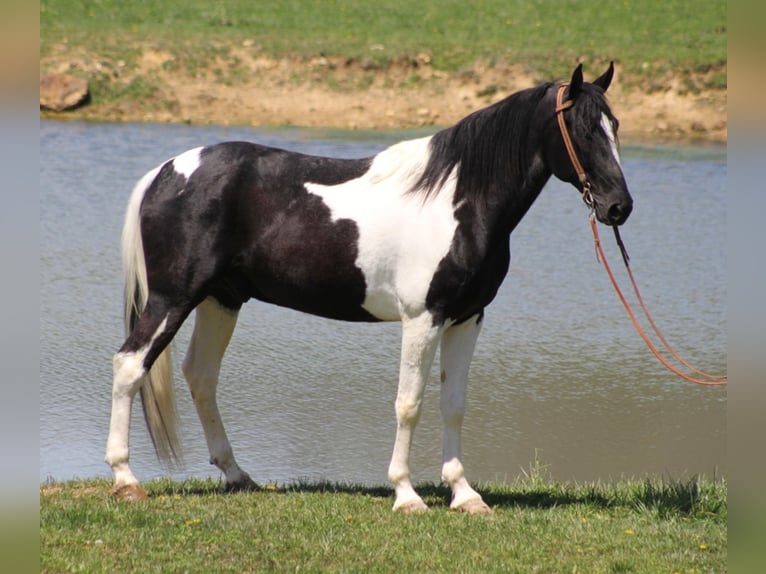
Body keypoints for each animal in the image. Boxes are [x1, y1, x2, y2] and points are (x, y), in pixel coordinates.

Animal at [108, 64, 636, 516]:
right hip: (173, 299)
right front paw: (406, 495)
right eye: (585, 131)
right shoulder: (423, 317)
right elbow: (409, 404)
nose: (618, 207)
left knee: (201, 376)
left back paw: (238, 477)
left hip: (222, 299)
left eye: (615, 126)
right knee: (131, 365)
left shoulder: (467, 318)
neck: (458, 198)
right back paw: (125, 480)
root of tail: (165, 172)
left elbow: (453, 405)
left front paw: (465, 495)